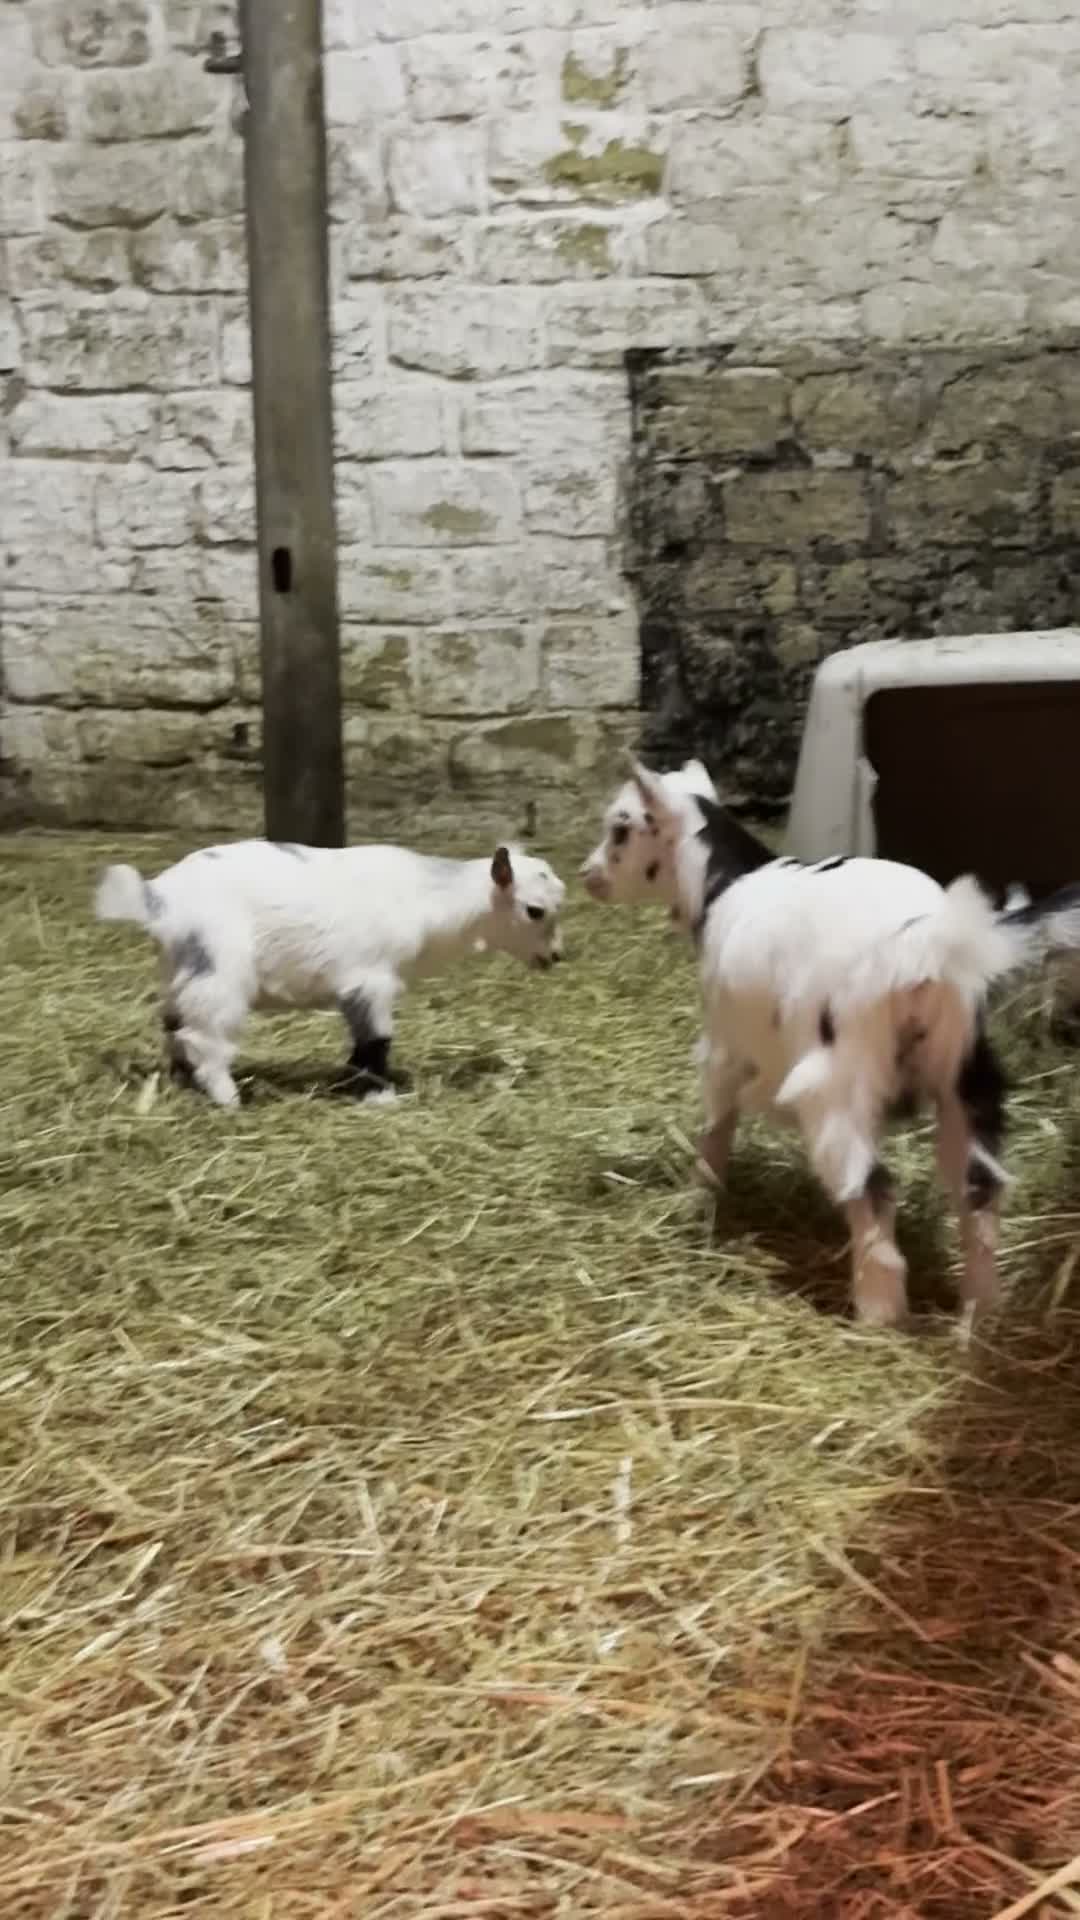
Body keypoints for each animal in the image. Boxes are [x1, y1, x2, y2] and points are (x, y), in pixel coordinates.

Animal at [95, 838, 566, 1109]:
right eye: (535, 910)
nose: (557, 957)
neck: (429, 899)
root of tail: (156, 898)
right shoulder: (370, 981)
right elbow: (376, 1039)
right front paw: (380, 1096)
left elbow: (360, 1042)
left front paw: (351, 1083)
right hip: (219, 972)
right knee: (203, 1035)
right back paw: (228, 1097)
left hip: (183, 969)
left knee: (173, 1024)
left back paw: (184, 1082)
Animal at [582, 759, 1080, 1326]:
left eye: (621, 828)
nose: (588, 875)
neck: (725, 885)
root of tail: (922, 944)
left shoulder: (725, 1044)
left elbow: (717, 1124)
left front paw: (700, 1197)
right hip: (964, 1068)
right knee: (979, 1185)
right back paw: (980, 1314)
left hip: (838, 1082)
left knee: (871, 1185)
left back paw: (878, 1314)